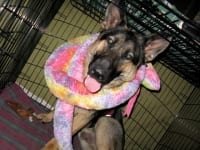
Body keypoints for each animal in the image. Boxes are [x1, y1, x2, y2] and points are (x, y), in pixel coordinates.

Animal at [36, 0, 170, 149]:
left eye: (129, 56)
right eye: (110, 41)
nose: (97, 73)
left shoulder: (82, 118)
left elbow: (57, 138)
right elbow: (56, 111)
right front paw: (47, 116)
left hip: (105, 123)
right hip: (85, 135)